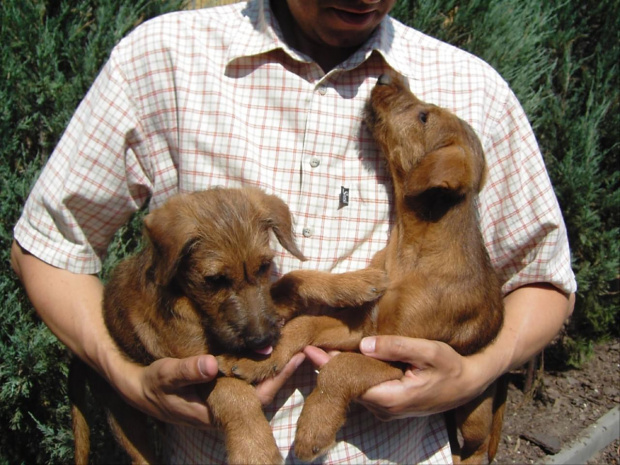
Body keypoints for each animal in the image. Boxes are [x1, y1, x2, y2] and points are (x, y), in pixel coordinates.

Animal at [69, 188, 388, 464]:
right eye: (214, 280)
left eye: (264, 266)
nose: (263, 340)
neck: (192, 304)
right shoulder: (192, 363)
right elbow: (231, 392)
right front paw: (254, 450)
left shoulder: (271, 302)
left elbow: (295, 278)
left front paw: (355, 282)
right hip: (124, 416)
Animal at [219, 74, 508, 462]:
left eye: (424, 117)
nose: (386, 76)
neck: (410, 254)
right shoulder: (362, 328)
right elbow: (301, 325)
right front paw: (258, 362)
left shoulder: (405, 359)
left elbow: (342, 368)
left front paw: (313, 430)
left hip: (473, 409)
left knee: (477, 446)